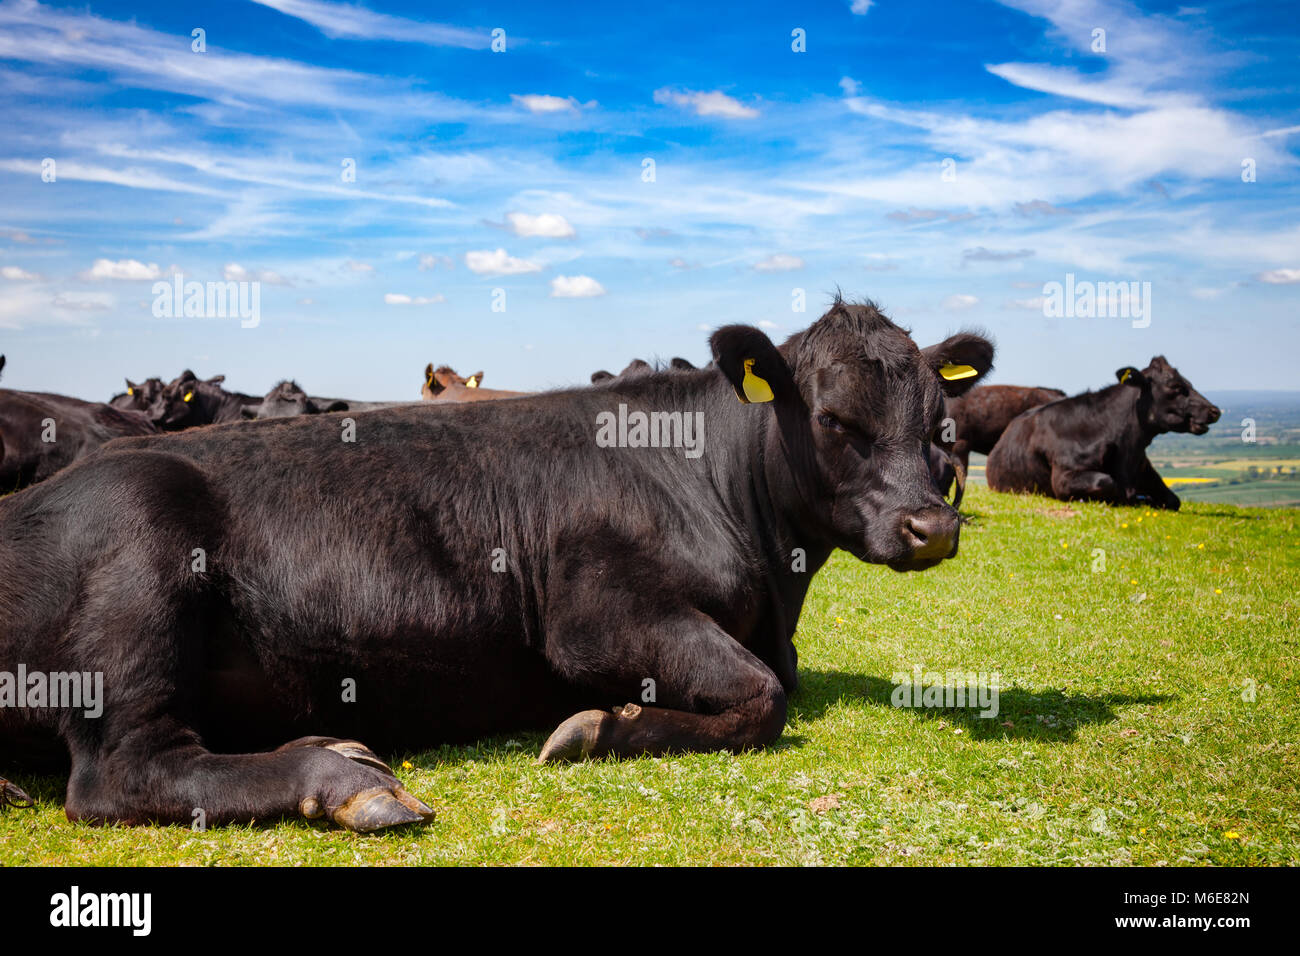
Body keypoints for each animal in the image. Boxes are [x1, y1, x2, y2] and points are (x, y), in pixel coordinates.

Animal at [985, 356, 1219, 510]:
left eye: (1188, 382)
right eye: (1175, 386)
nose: (1214, 410)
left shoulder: (1144, 469)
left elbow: (1173, 500)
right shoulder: (1064, 478)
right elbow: (1107, 483)